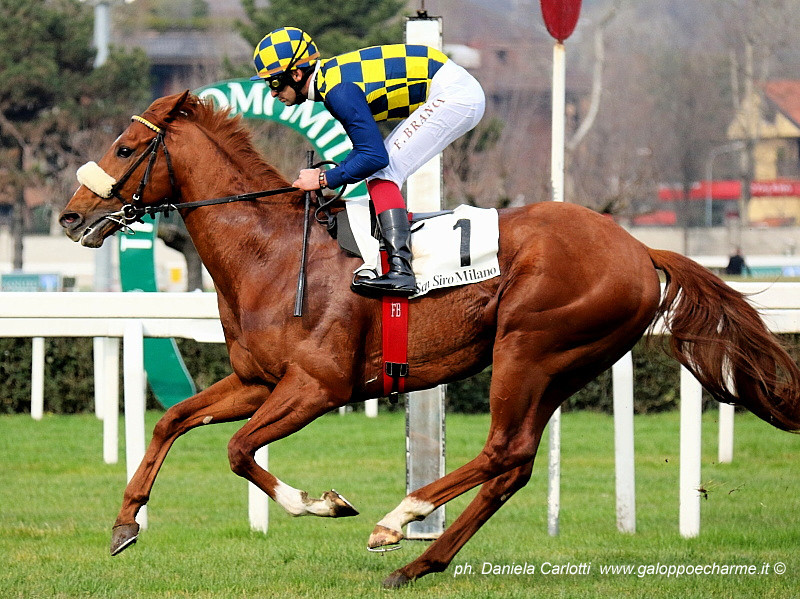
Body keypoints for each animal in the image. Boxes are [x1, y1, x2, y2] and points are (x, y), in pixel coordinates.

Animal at [57, 91, 800, 588]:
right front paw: (126, 523)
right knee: (515, 464)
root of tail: (642, 248)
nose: (70, 215)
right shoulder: (256, 380)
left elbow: (239, 450)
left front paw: (324, 503)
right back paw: (422, 560)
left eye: (126, 149)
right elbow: (172, 420)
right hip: (564, 363)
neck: (270, 252)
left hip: (529, 346)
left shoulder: (317, 387)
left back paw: (400, 518)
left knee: (502, 449)